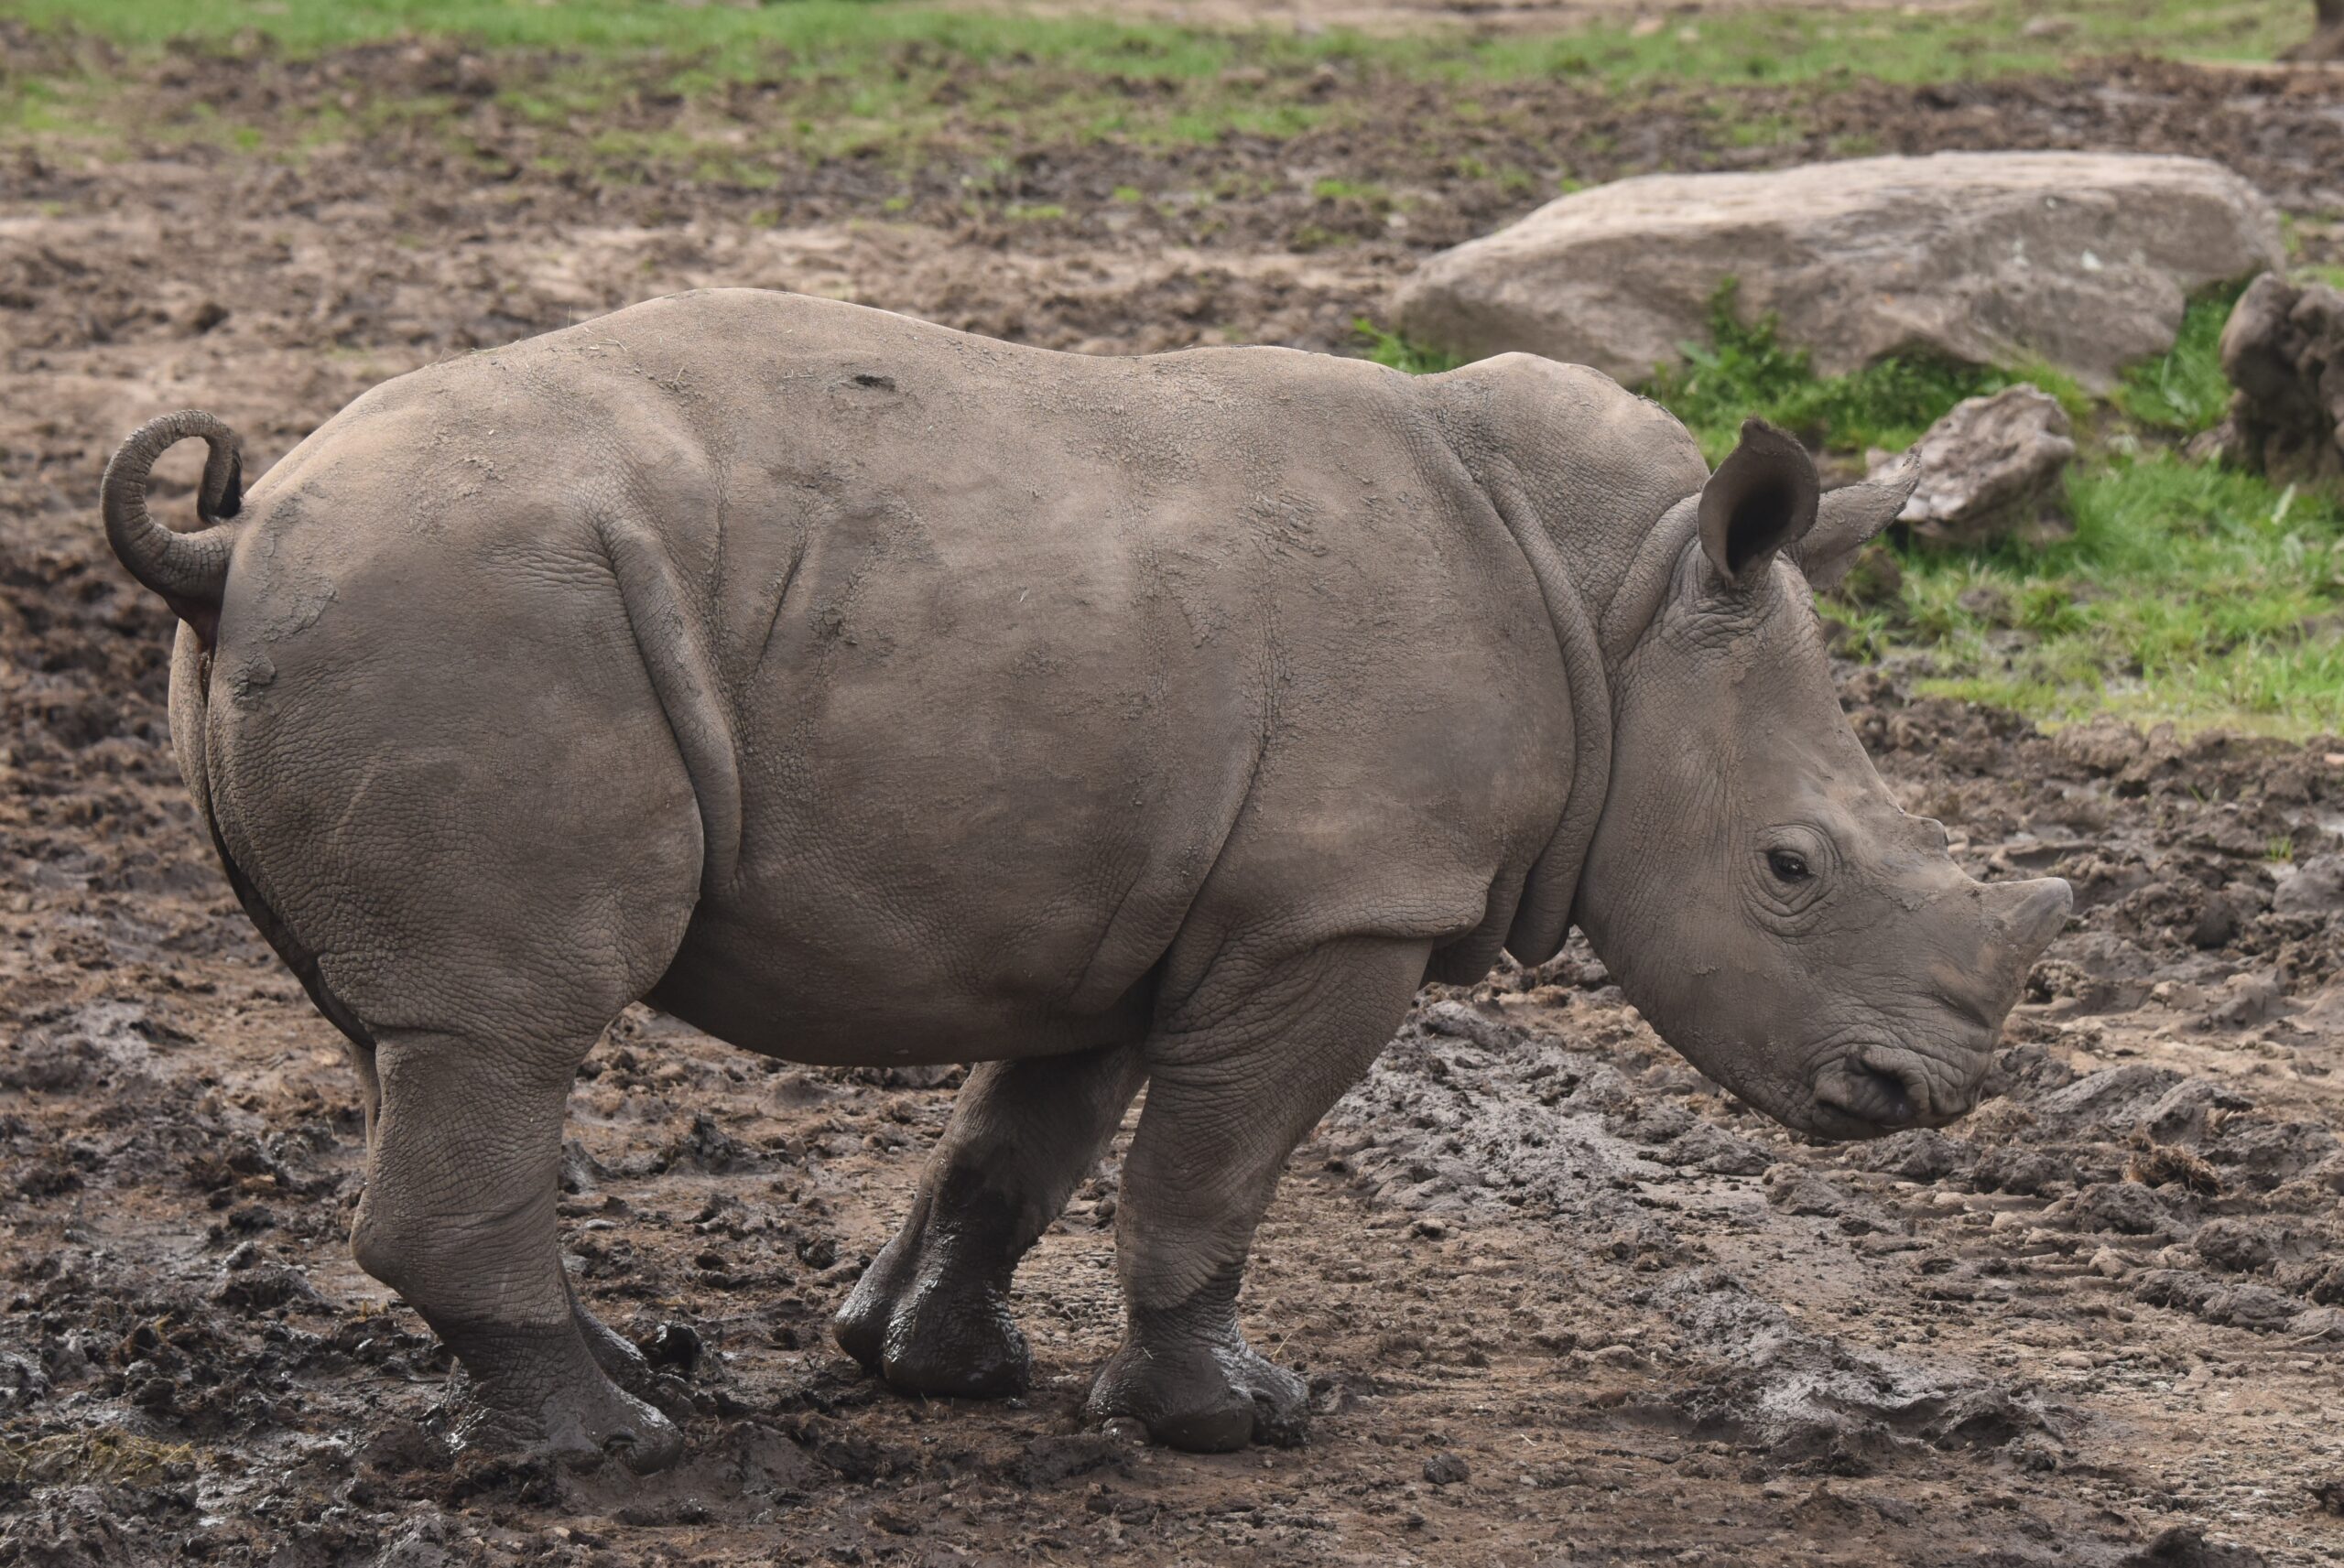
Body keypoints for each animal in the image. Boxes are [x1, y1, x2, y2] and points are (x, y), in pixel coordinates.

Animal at [101, 289, 2070, 1471]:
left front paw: (931, 1366)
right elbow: (1218, 1165)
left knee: (416, 1036)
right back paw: (614, 1449)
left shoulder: (1127, 899)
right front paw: (1235, 1418)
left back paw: (634, 1387)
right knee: (507, 1027)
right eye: (1791, 865)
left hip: (413, 622)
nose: (1924, 1090)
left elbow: (1020, 1142)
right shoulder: (1332, 905)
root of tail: (238, 532)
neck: (1626, 602)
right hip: (474, 608)